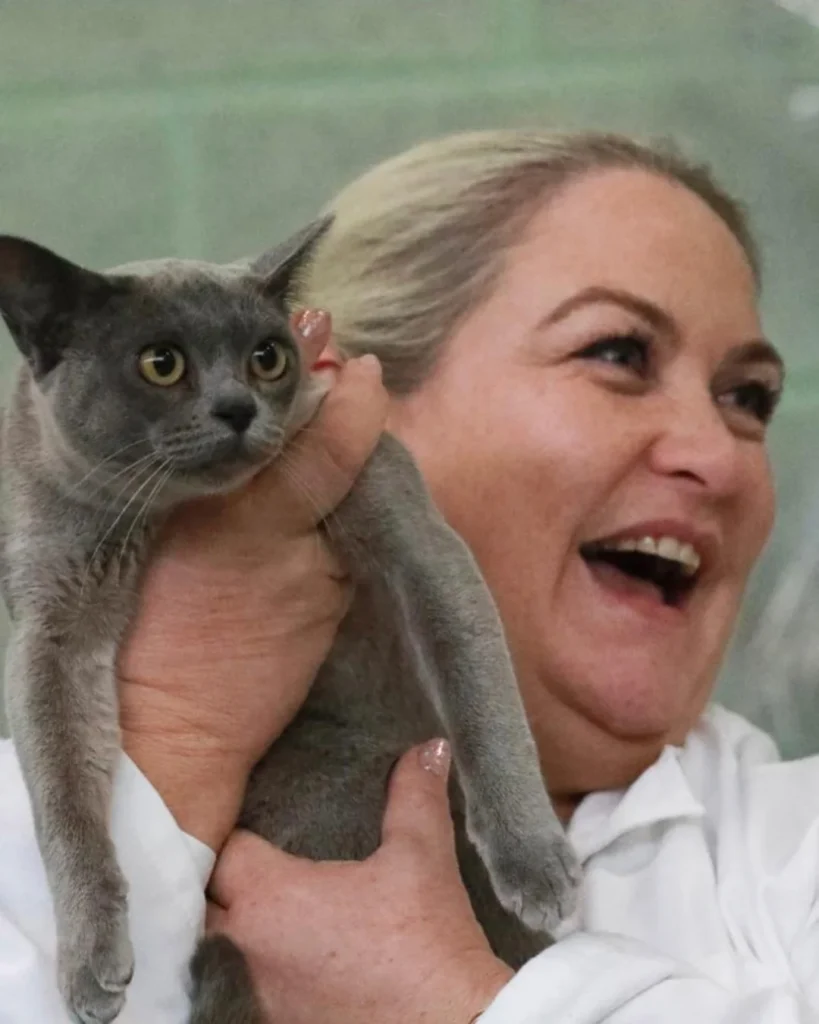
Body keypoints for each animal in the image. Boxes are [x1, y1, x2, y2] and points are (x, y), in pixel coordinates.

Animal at [0, 218, 577, 1024]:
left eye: (267, 357)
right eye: (160, 363)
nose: (238, 407)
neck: (177, 514)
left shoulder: (415, 533)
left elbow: (480, 688)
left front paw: (533, 861)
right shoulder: (50, 611)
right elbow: (58, 787)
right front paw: (88, 961)